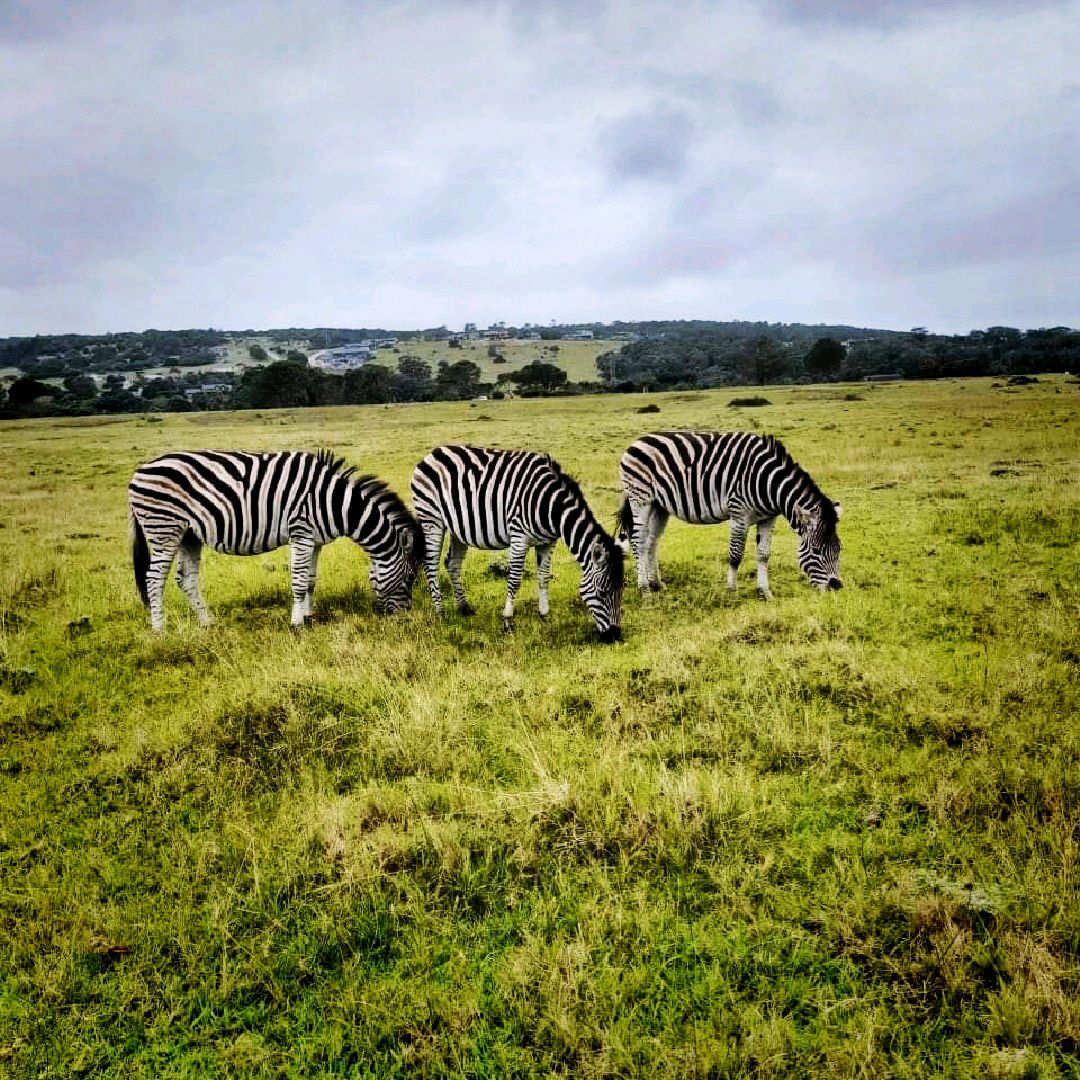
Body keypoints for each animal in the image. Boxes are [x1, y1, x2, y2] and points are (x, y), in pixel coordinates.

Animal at [128, 450, 422, 631]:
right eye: (409, 578)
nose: (405, 618)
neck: (335, 502)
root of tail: (139, 471)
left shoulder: (315, 541)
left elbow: (311, 580)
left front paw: (309, 616)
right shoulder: (301, 532)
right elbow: (299, 581)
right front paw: (296, 624)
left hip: (188, 534)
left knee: (185, 579)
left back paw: (207, 622)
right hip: (164, 528)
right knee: (153, 579)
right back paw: (160, 630)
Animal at [410, 445, 625, 642]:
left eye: (621, 591)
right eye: (602, 593)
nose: (615, 636)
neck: (551, 507)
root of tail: (433, 452)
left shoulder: (548, 542)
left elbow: (544, 577)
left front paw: (545, 615)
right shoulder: (519, 537)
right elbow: (514, 580)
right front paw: (508, 621)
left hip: (458, 529)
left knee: (452, 564)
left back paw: (464, 607)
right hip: (432, 519)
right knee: (431, 565)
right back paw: (440, 612)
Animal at [616, 431, 842, 598]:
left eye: (839, 549)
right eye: (815, 550)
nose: (836, 587)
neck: (769, 484)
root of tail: (638, 441)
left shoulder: (769, 518)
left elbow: (763, 554)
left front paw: (764, 592)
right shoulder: (739, 514)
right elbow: (735, 555)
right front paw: (732, 589)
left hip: (659, 505)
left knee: (651, 542)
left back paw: (656, 583)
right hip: (640, 499)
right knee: (638, 541)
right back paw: (644, 589)